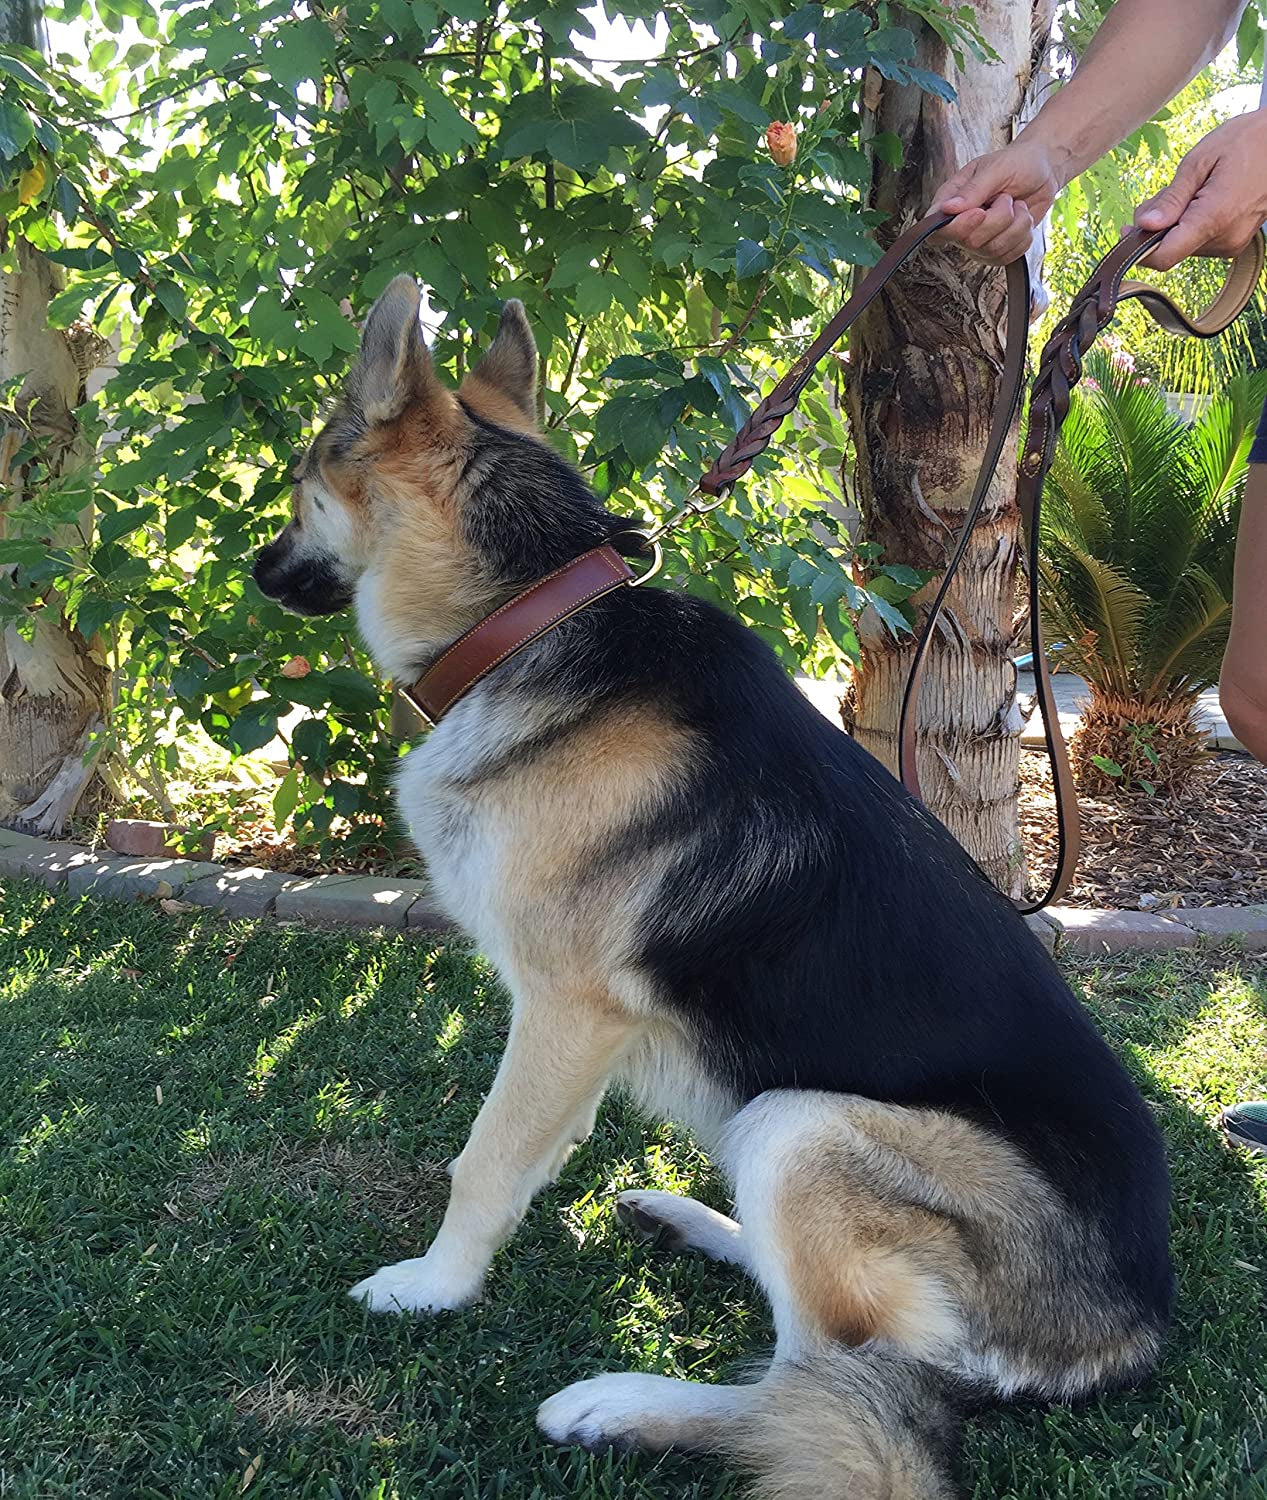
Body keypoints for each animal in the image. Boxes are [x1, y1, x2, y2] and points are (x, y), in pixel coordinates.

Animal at [251, 282, 1169, 1500]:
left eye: (303, 483)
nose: (256, 570)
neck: (535, 618)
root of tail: (1136, 1333)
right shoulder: (571, 1027)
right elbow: (538, 1140)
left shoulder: (565, 1007)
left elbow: (484, 1161)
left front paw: (436, 1287)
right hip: (772, 1125)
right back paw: (695, 1222)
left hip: (801, 1124)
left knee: (828, 1382)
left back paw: (627, 1405)